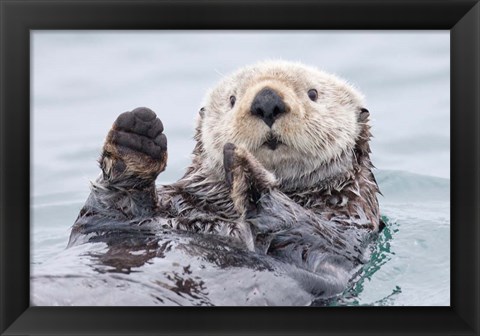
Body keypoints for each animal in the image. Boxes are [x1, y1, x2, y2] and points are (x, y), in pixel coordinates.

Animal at [68, 61, 382, 302]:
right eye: (232, 99)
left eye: (313, 93)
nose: (267, 100)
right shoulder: (129, 218)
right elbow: (106, 213)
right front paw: (136, 138)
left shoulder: (346, 229)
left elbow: (311, 230)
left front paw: (247, 171)